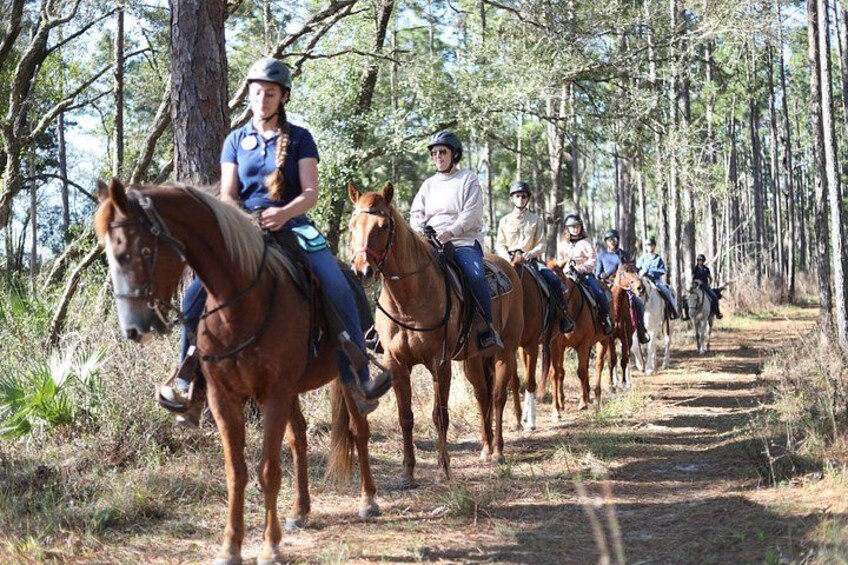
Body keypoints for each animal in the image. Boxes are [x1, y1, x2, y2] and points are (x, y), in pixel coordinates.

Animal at [95, 179, 377, 565]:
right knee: (299, 439)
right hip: (292, 391)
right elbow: (237, 471)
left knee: (359, 429)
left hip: (343, 375)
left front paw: (270, 546)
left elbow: (268, 470)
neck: (240, 304)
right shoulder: (223, 397)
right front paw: (231, 547)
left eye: (141, 251)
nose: (135, 329)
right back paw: (300, 510)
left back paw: (368, 500)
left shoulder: (275, 394)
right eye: (109, 253)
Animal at [347, 182, 524, 482]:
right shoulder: (397, 364)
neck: (408, 300)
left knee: (499, 398)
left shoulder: (439, 363)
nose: (362, 270)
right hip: (473, 360)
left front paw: (443, 469)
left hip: (506, 352)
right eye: (352, 225)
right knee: (482, 397)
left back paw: (498, 452)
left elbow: (439, 415)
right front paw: (407, 472)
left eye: (383, 225)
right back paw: (486, 449)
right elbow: (405, 416)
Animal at [539, 263, 607, 418]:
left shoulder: (583, 344)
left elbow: (580, 371)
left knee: (598, 365)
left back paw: (596, 395)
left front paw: (582, 403)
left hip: (604, 340)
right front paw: (560, 404)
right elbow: (559, 372)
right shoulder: (558, 344)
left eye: (562, 288)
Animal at [596, 264, 644, 395]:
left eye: (637, 270)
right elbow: (611, 361)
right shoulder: (610, 338)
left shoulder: (626, 337)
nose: (640, 288)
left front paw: (624, 383)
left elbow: (624, 359)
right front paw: (612, 386)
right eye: (625, 272)